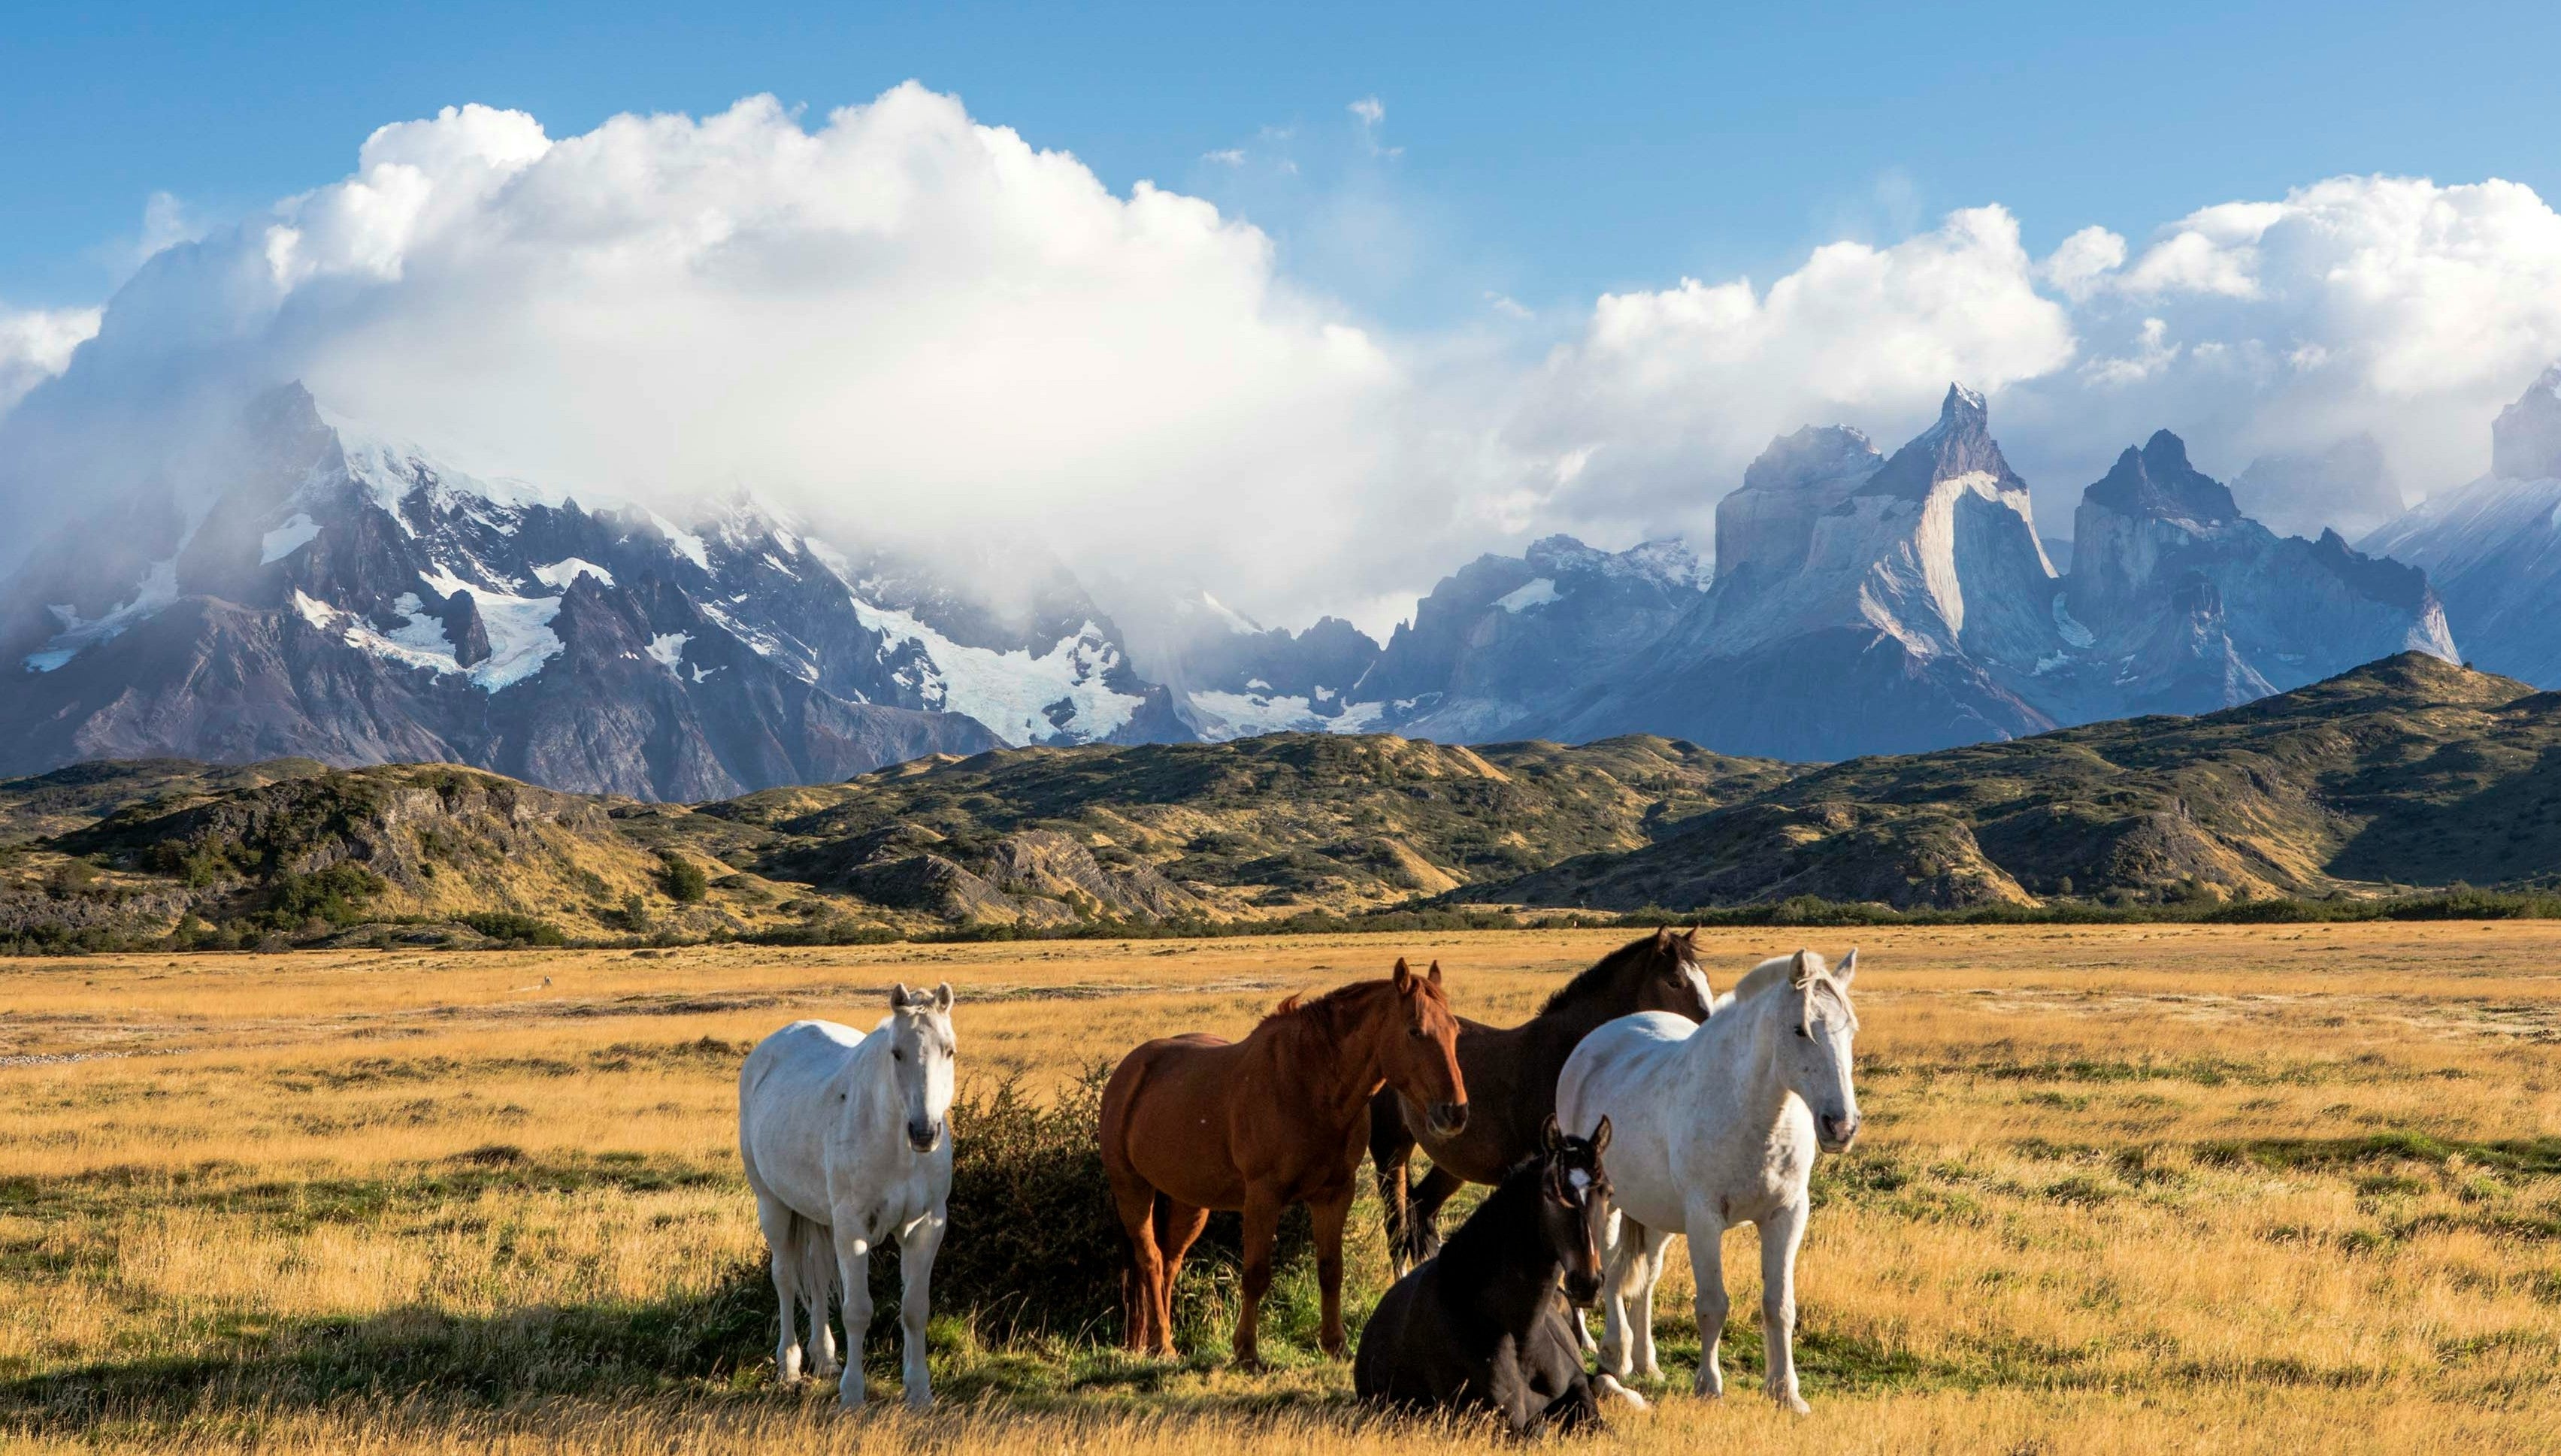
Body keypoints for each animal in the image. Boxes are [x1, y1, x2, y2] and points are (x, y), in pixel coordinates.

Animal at [737, 982, 957, 1411]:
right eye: (896, 1052)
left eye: (949, 1050)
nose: (924, 1132)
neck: (897, 1147)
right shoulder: (853, 1227)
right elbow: (857, 1310)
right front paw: (853, 1394)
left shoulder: (926, 1226)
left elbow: (915, 1309)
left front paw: (920, 1391)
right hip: (773, 1206)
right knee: (785, 1277)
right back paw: (790, 1366)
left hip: (821, 1219)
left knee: (819, 1277)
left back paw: (825, 1358)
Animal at [1099, 958, 1467, 1367]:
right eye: (1415, 1031)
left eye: (1455, 1030)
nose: (1455, 1113)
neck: (1310, 1085)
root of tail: (1129, 1071)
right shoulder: (1264, 1196)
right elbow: (1256, 1273)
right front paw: (1246, 1352)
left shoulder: (1334, 1194)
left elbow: (1330, 1269)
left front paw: (1336, 1345)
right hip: (1132, 1188)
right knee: (1149, 1258)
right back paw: (1162, 1343)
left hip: (1187, 1201)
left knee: (1169, 1261)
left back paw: (1155, 1342)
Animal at [1355, 1114, 1648, 1434]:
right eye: (1550, 1194)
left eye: (1608, 1192)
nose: (1587, 1283)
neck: (1520, 1338)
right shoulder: (1499, 1419)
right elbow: (1538, 1429)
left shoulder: (1578, 1391)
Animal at [1369, 926, 1716, 1274]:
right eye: (1674, 981)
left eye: (1704, 978)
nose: (1707, 1032)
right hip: (1391, 1152)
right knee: (1397, 1225)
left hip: (1451, 1163)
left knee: (1421, 1208)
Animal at [1555, 948, 1861, 1412]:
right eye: (1800, 1029)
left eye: (1851, 1031)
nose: (1840, 1126)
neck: (1755, 1114)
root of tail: (1594, 1043)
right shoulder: (1704, 1218)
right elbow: (1713, 1305)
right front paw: (1709, 1387)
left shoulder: (1787, 1214)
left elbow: (1779, 1306)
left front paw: (1785, 1392)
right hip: (1606, 1207)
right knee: (1608, 1268)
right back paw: (1615, 1353)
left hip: (1657, 1214)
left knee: (1646, 1278)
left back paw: (1646, 1363)